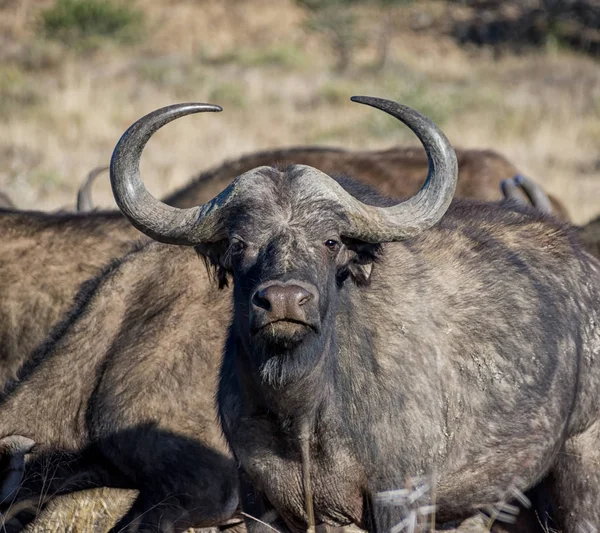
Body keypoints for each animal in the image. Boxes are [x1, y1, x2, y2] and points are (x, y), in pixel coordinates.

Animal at [110, 98, 600, 528]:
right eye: (238, 243)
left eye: (330, 242)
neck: (301, 409)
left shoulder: (401, 497)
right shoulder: (264, 502)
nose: (283, 301)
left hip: (581, 463)